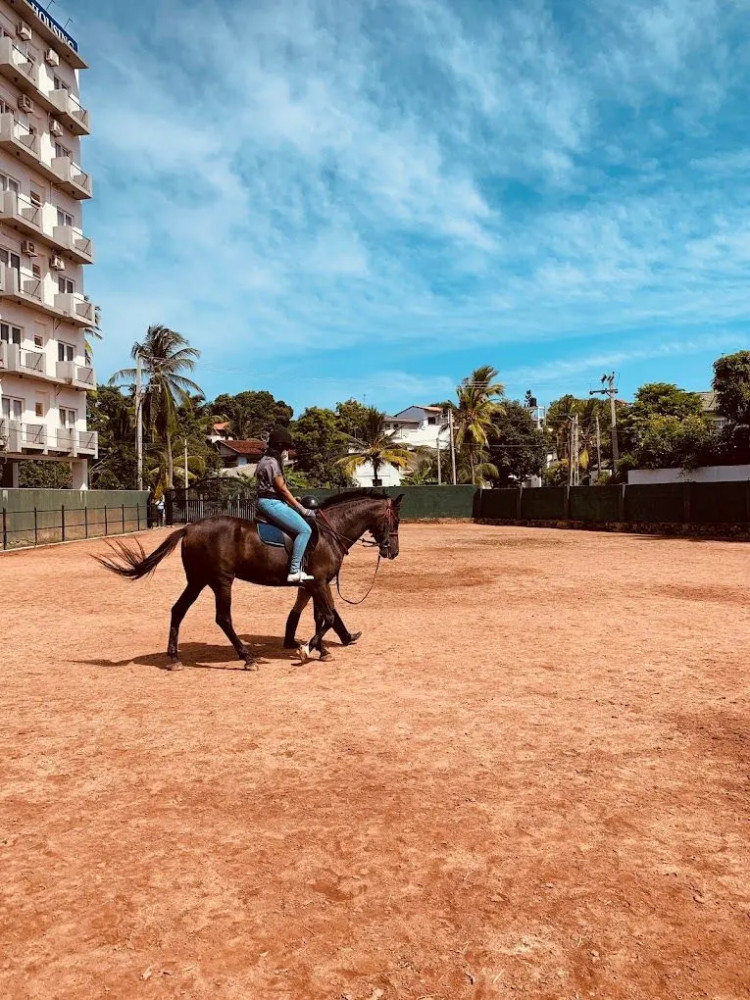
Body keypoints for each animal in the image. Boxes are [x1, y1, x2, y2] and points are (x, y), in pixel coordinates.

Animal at [99, 492, 406, 672]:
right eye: (395, 520)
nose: (392, 551)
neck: (331, 532)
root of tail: (189, 527)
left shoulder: (315, 584)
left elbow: (323, 615)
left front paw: (322, 648)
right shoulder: (319, 582)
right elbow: (328, 616)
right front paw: (307, 649)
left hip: (197, 581)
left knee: (178, 610)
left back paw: (174, 659)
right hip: (221, 581)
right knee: (223, 618)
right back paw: (247, 658)